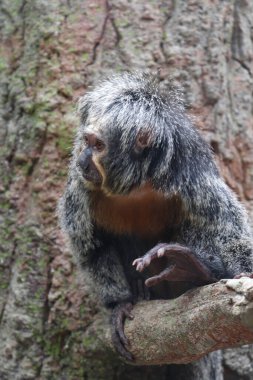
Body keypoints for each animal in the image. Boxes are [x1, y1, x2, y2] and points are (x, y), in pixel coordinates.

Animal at [58, 71, 253, 368]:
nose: (83, 160)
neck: (137, 185)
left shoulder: (191, 174)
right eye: (87, 142)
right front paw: (120, 303)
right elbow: (91, 247)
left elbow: (231, 233)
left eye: (98, 146)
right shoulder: (81, 185)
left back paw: (192, 269)